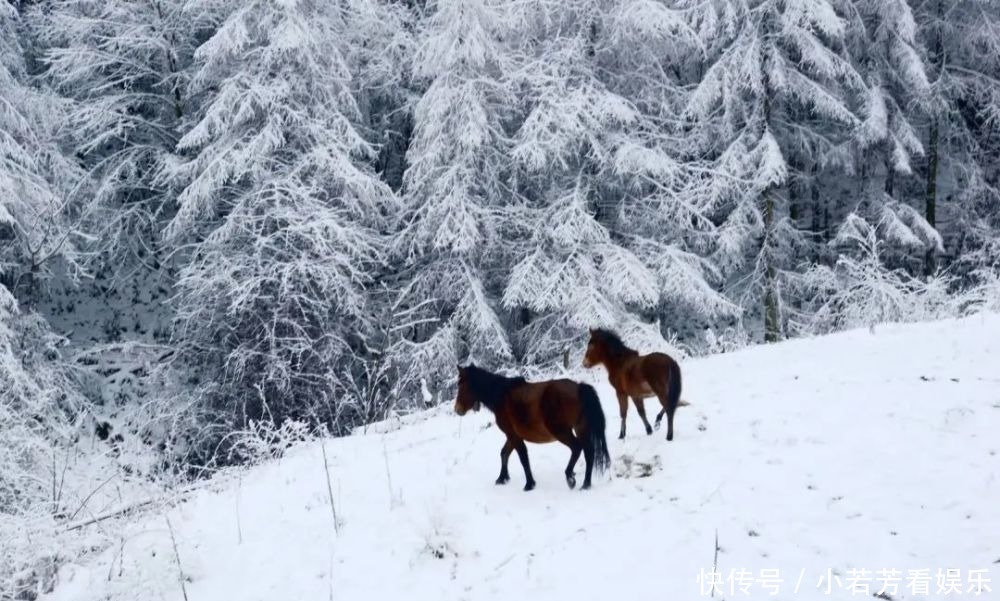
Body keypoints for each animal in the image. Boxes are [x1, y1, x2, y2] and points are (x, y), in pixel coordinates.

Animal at [454, 364, 608, 490]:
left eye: (461, 385)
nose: (457, 409)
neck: (502, 396)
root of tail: (578, 387)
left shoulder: (513, 435)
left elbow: (523, 458)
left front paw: (529, 484)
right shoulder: (512, 436)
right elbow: (504, 453)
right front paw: (502, 478)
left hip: (562, 431)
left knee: (577, 447)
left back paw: (570, 477)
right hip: (580, 428)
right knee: (589, 452)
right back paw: (586, 484)